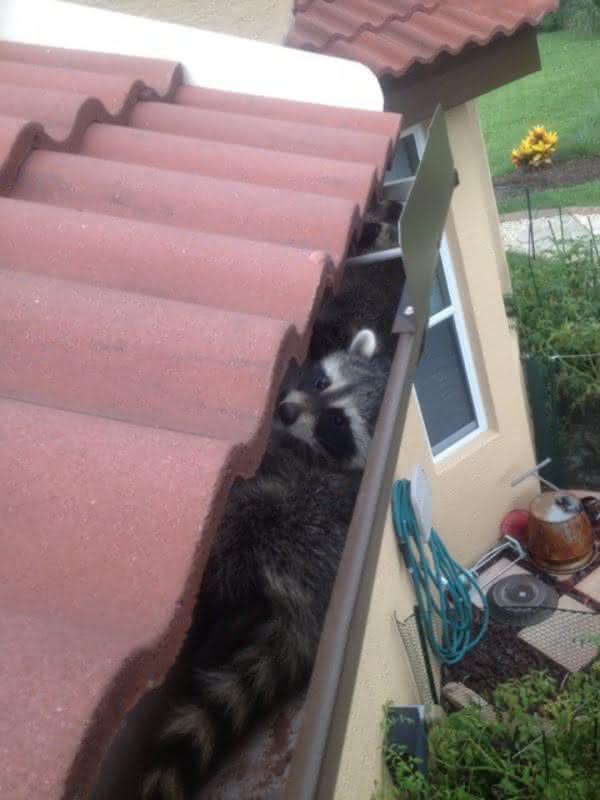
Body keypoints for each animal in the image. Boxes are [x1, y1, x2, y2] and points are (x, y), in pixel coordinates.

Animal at [139, 328, 386, 796]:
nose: (287, 410)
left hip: (303, 536)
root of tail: (312, 618)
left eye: (337, 422)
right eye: (321, 381)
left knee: (254, 525)